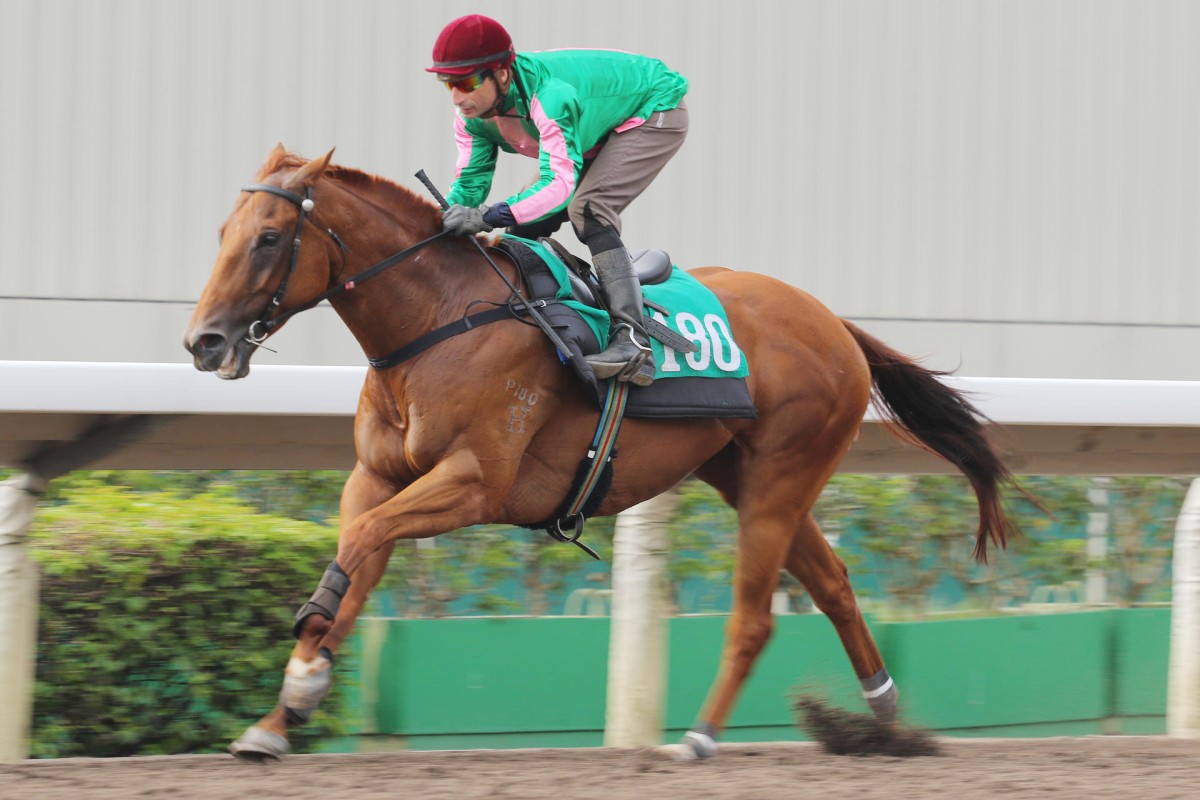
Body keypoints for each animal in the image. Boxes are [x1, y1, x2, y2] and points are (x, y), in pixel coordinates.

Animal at [184, 145, 1012, 762]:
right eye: (222, 231)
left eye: (267, 237)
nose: (204, 343)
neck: (440, 320)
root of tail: (836, 323)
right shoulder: (378, 477)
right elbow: (356, 560)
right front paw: (281, 713)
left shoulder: (475, 482)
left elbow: (357, 546)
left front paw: (303, 672)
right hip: (746, 474)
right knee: (836, 584)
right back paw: (884, 719)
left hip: (784, 473)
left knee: (755, 619)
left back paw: (699, 739)